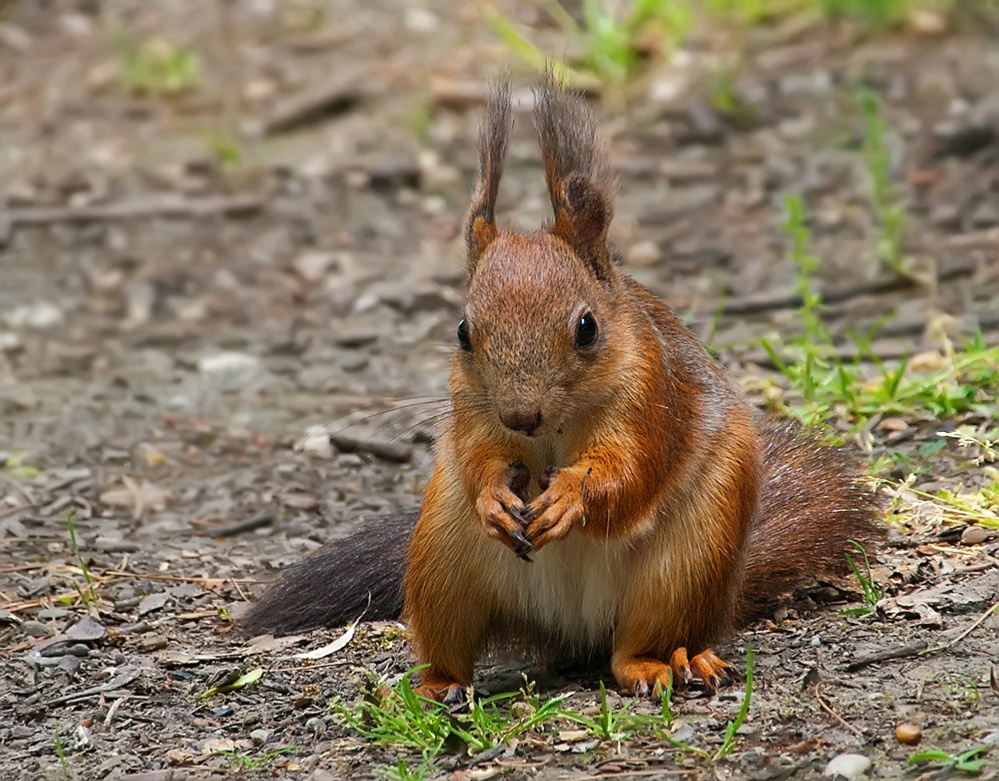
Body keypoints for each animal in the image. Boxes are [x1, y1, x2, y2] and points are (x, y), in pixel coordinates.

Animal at [242, 76, 884, 704]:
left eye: (587, 327)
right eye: (463, 331)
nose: (521, 415)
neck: (551, 428)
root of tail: (576, 627)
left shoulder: (649, 395)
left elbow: (629, 472)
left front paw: (571, 495)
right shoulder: (472, 409)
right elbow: (477, 457)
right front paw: (494, 495)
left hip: (692, 558)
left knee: (636, 648)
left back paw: (669, 663)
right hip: (442, 559)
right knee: (451, 640)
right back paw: (435, 686)